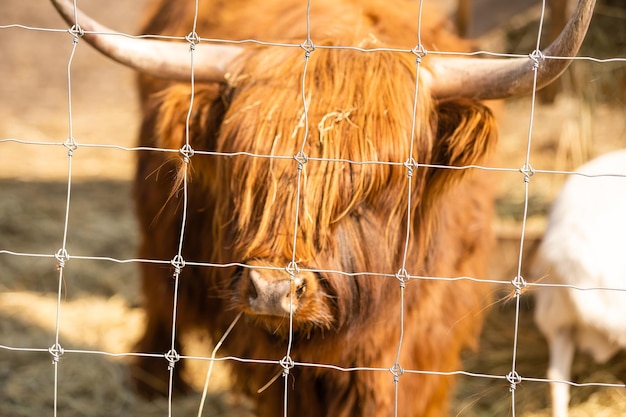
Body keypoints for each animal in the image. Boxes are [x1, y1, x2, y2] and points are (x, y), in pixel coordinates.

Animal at [51, 0, 592, 414]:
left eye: (370, 190)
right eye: (247, 173)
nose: (273, 291)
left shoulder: (427, 345)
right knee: (161, 285)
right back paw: (154, 380)